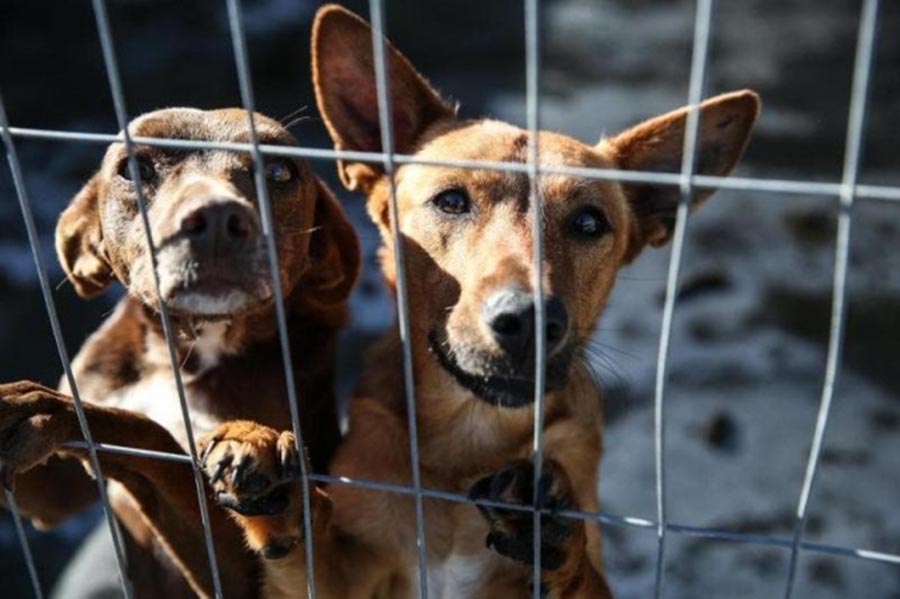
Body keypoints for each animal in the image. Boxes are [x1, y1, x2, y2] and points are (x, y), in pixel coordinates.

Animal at [0, 108, 358, 599]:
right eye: (133, 168)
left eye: (280, 171)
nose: (218, 217)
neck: (188, 351)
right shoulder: (52, 495)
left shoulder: (237, 578)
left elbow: (148, 435)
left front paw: (47, 408)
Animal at [181, 5, 760, 599]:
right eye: (452, 201)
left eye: (589, 222)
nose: (528, 320)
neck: (471, 434)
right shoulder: (341, 577)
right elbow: (310, 542)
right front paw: (264, 464)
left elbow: (582, 574)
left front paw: (553, 529)